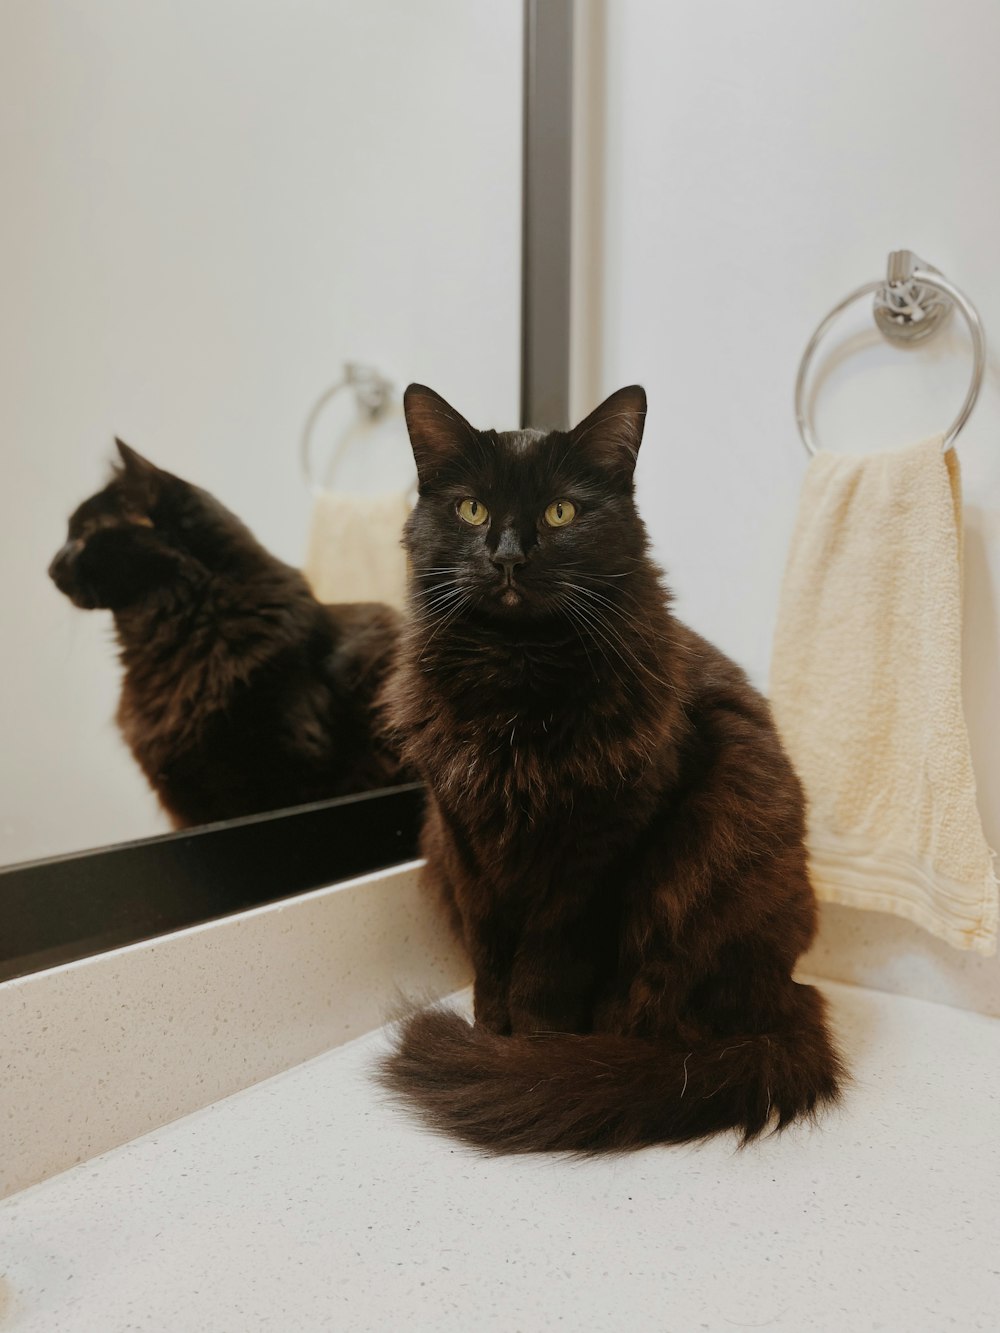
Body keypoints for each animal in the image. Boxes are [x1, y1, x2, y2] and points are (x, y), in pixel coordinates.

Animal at [378, 381, 848, 1151]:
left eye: (561, 512)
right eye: (471, 509)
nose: (508, 557)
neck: (515, 678)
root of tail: (787, 996)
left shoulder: (595, 852)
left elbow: (543, 970)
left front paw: (528, 1057)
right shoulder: (464, 836)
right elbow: (490, 956)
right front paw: (491, 1036)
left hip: (713, 839)